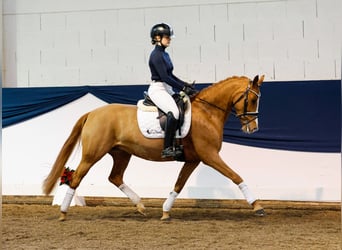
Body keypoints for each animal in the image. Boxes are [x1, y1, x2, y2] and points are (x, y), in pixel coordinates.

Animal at [42, 74, 266, 221]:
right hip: (93, 154)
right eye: (252, 99)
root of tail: (92, 113)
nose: (253, 128)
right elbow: (236, 176)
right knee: (76, 177)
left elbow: (179, 184)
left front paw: (166, 211)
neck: (207, 112)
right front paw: (257, 206)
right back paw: (63, 212)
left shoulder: (194, 159)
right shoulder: (209, 155)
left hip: (122, 153)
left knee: (115, 177)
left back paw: (141, 206)